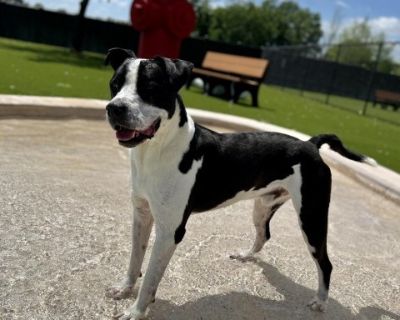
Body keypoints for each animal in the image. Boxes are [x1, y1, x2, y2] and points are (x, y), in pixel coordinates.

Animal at [104, 48, 374, 320]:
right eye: (114, 85)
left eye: (150, 88)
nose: (114, 108)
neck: (157, 150)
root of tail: (310, 144)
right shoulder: (142, 215)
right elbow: (135, 259)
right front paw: (125, 288)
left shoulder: (170, 231)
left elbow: (150, 277)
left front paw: (136, 311)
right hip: (264, 207)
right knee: (264, 234)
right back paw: (246, 255)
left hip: (312, 219)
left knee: (325, 263)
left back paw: (320, 301)